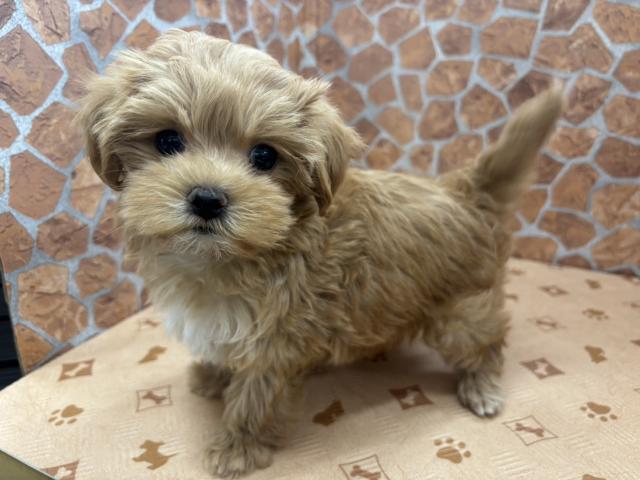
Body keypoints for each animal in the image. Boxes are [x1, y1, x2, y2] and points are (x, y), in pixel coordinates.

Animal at [77, 29, 562, 478]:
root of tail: (465, 190)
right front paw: (213, 374)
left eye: (264, 155)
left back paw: (482, 386)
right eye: (167, 141)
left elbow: (254, 399)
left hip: (460, 311)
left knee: (487, 339)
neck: (222, 259)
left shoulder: (274, 343)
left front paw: (237, 448)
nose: (208, 199)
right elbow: (223, 351)